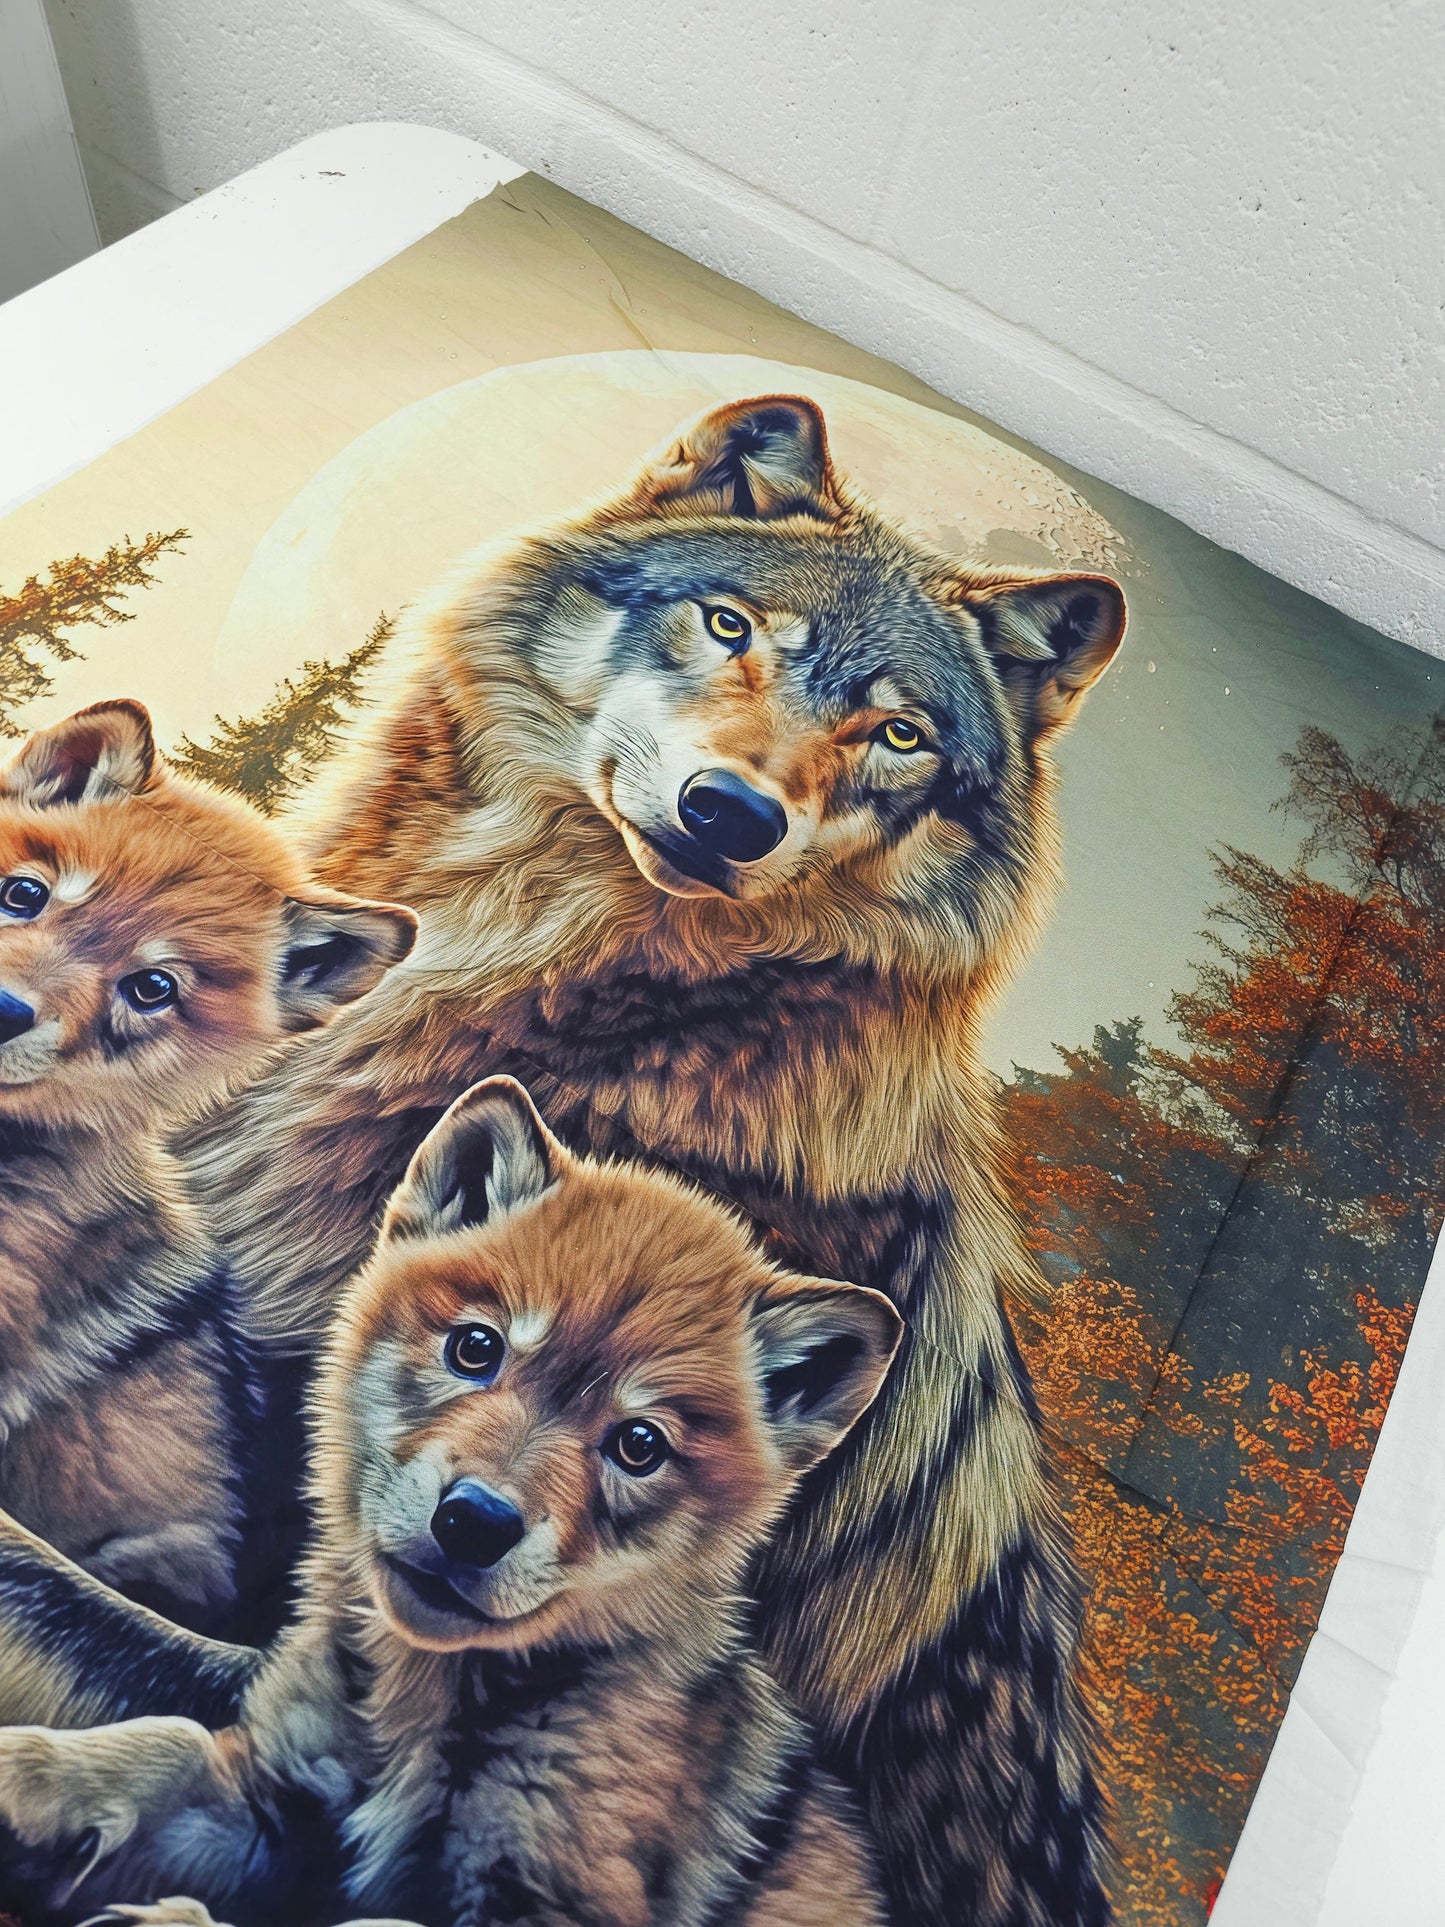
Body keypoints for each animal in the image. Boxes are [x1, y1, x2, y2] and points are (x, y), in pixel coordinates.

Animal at [0, 1077, 898, 1927]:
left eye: (638, 1445)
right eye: (475, 1347)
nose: (473, 1521)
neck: (417, 1706)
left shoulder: (545, 1901)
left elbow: (376, 1922)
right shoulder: (274, 1796)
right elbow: (167, 1741)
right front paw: (25, 1771)